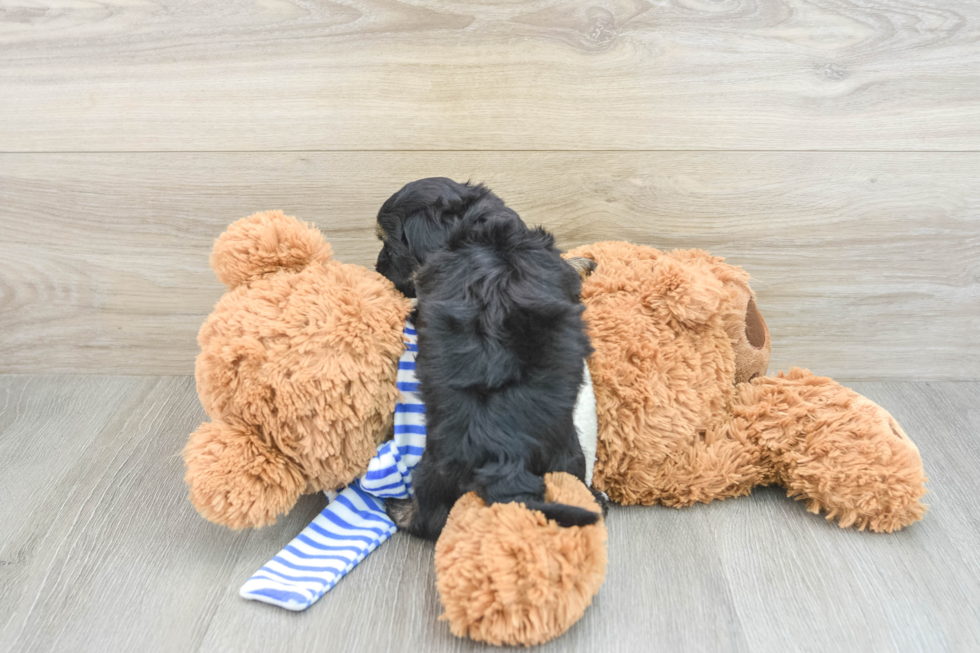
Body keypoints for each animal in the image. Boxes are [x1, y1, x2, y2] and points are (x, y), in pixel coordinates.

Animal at [378, 180, 600, 540]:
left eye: (389, 246)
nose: (377, 267)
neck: (480, 230)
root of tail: (506, 455)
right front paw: (582, 262)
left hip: (435, 466)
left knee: (431, 518)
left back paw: (399, 509)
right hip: (566, 455)